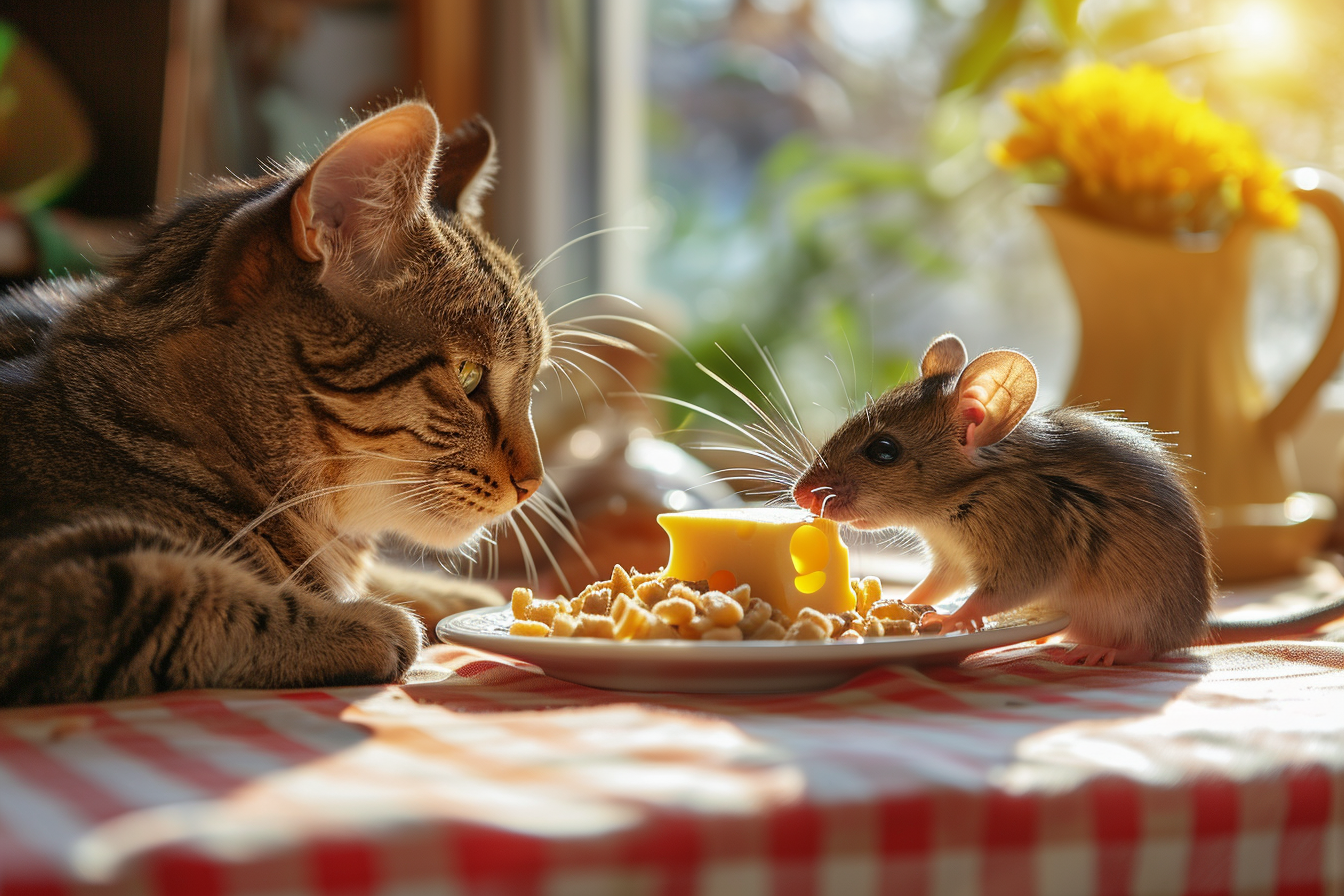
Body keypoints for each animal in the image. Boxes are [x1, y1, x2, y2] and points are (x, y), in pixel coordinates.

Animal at [1, 100, 545, 709]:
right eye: (468, 376)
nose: (535, 482)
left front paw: (464, 600)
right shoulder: (41, 580)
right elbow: (187, 594)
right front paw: (368, 623)